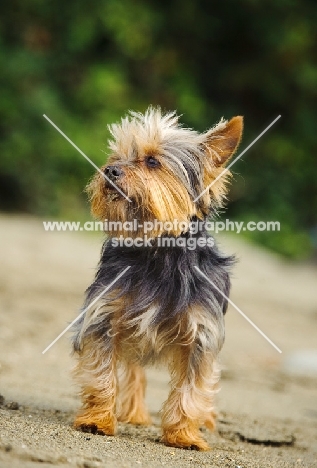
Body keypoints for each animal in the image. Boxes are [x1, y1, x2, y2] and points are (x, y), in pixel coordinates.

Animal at [72, 106, 242, 450]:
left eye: (152, 161)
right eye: (116, 156)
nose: (110, 170)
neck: (157, 252)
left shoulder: (201, 333)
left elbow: (192, 387)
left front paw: (183, 435)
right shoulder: (104, 317)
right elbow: (101, 373)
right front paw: (97, 420)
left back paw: (205, 420)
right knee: (134, 369)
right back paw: (134, 413)